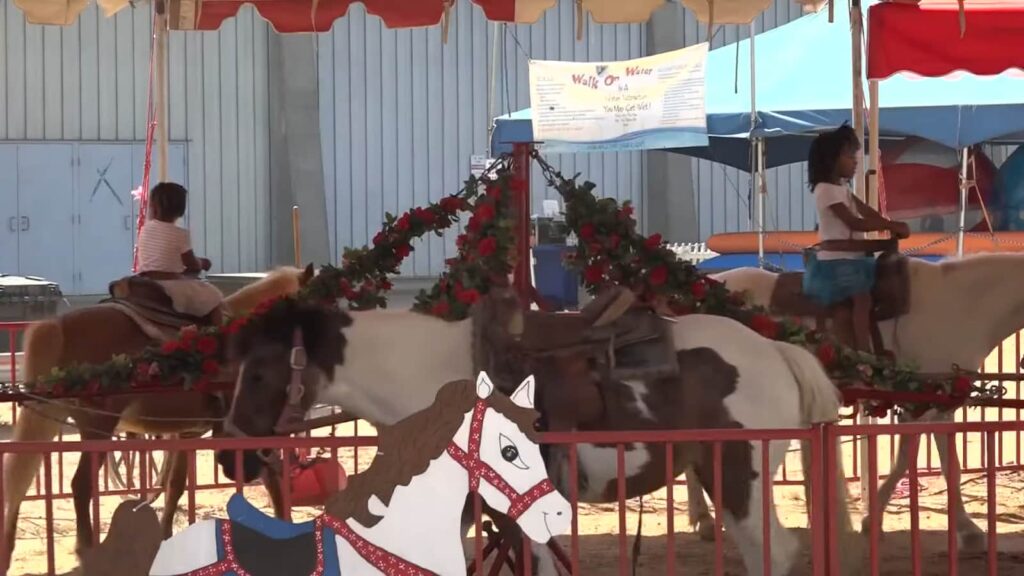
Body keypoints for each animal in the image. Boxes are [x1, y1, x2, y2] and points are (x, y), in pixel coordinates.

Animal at [2, 264, 313, 561]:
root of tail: (58, 325)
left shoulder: (186, 434)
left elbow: (175, 486)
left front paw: (164, 540)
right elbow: (272, 478)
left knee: (18, 482)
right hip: (97, 428)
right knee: (80, 485)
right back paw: (86, 549)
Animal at [708, 252, 1024, 545]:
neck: (961, 305)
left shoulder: (938, 406)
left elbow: (946, 467)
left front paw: (966, 529)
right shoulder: (922, 408)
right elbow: (910, 462)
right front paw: (873, 521)